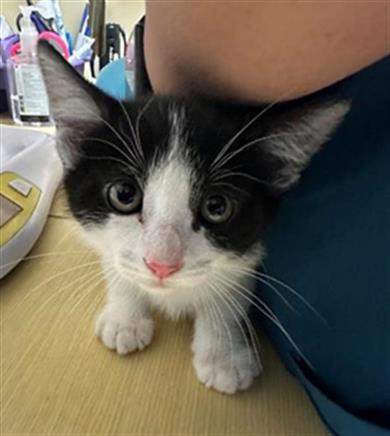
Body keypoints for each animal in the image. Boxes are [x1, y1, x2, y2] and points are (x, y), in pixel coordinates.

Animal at [38, 41, 348, 396]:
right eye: (124, 195)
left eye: (217, 206)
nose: (161, 265)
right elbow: (116, 263)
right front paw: (125, 317)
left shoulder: (248, 250)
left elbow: (229, 287)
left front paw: (222, 354)